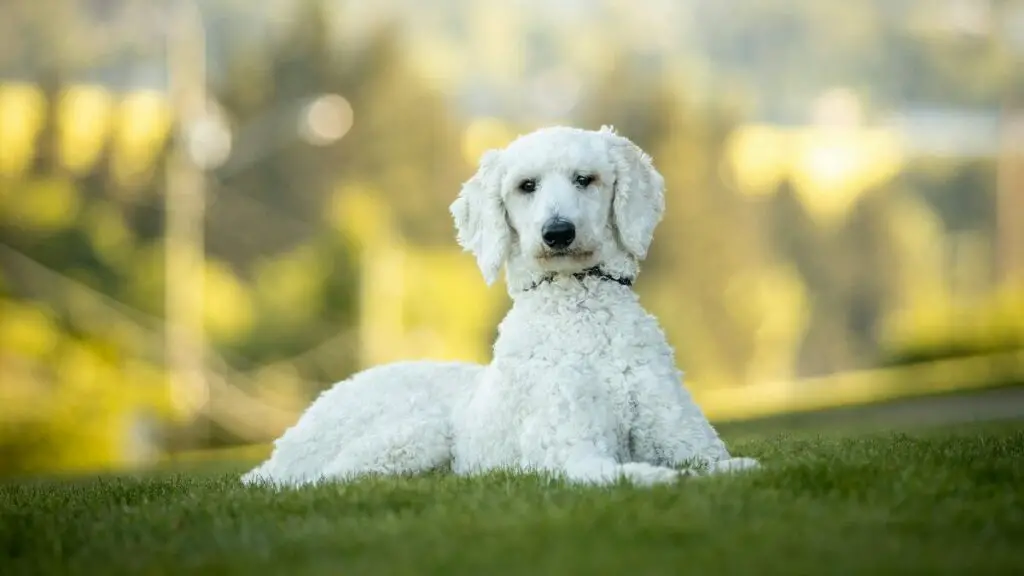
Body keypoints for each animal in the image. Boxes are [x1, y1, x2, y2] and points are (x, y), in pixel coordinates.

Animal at [241, 124, 761, 483]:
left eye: (585, 179)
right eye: (526, 186)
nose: (558, 233)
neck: (582, 313)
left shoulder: (687, 438)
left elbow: (729, 465)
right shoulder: (570, 451)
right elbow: (629, 474)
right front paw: (660, 478)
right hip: (413, 435)